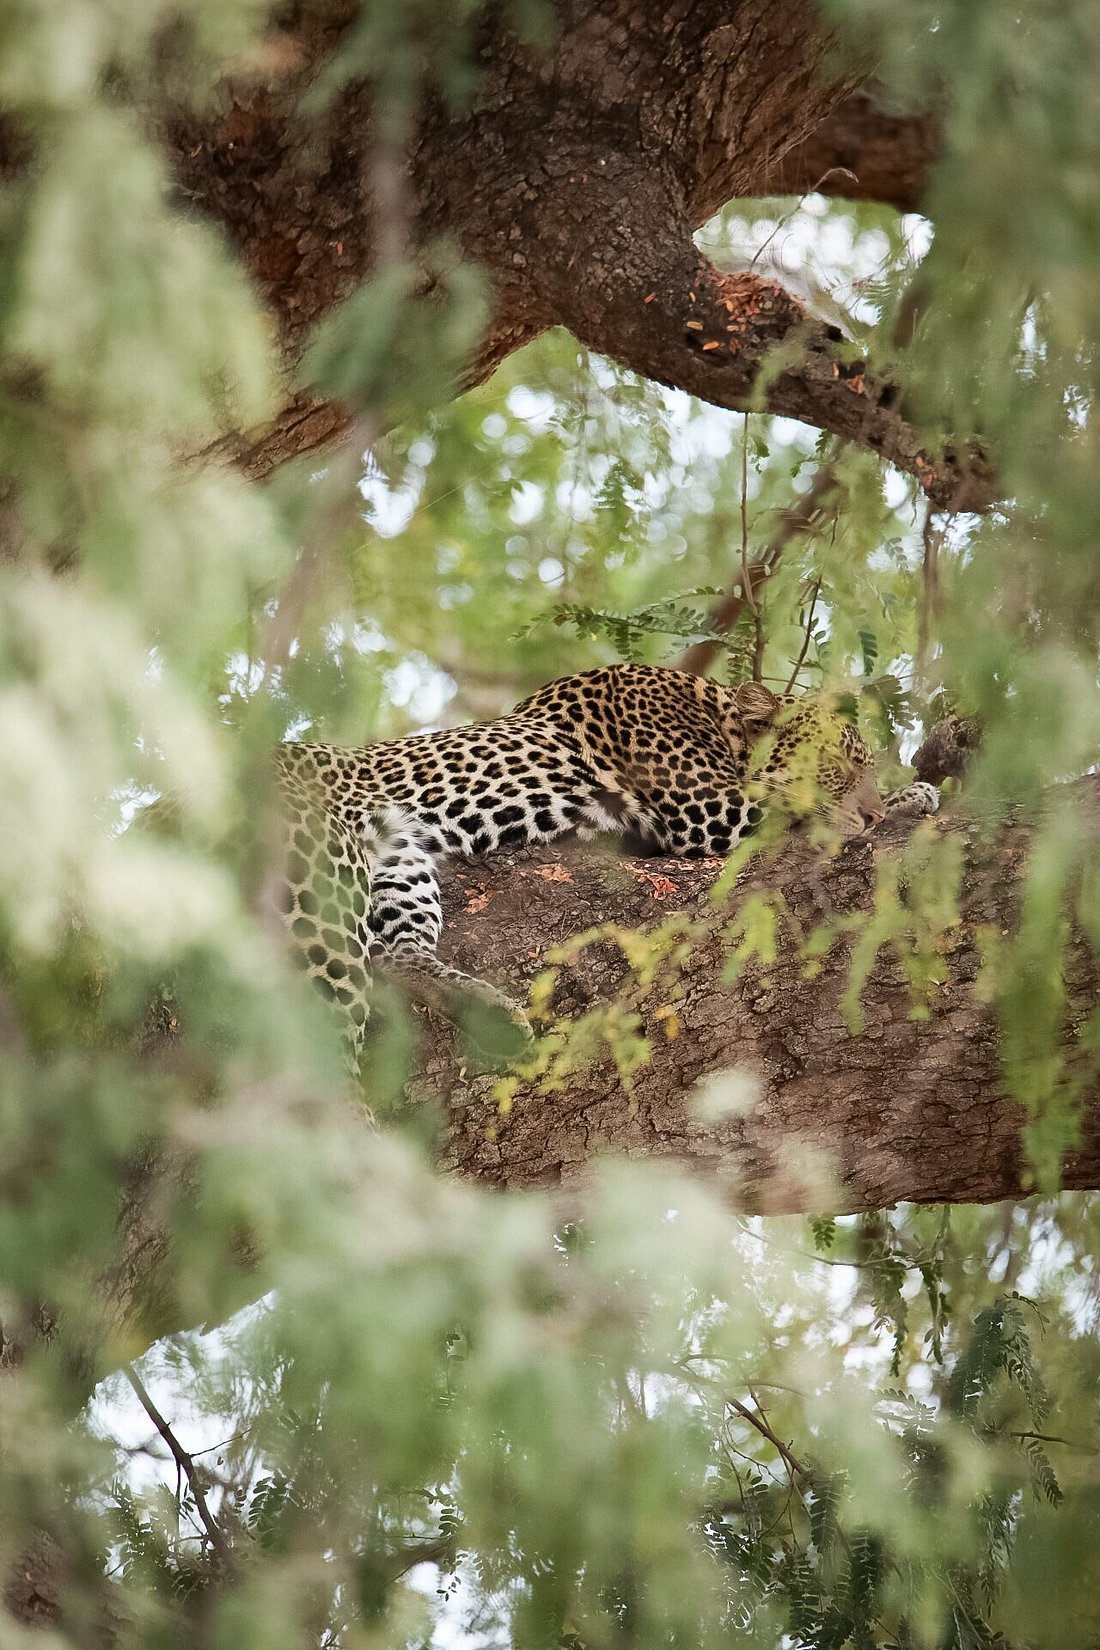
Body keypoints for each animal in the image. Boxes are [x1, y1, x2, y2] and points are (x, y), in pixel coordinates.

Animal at [273, 663, 931, 1057]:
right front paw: (910, 799)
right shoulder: (705, 808)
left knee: (393, 953)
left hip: (397, 860)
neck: (712, 714)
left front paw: (902, 798)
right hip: (319, 879)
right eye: (837, 765)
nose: (873, 810)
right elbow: (803, 811)